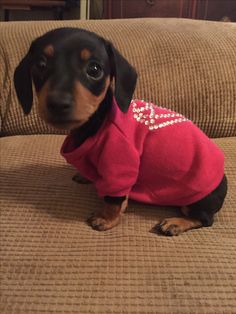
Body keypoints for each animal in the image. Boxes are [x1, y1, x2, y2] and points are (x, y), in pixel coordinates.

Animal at [13, 28, 228, 236]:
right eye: (40, 65)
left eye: (94, 69)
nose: (58, 103)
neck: (99, 121)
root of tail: (223, 180)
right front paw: (86, 175)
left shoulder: (120, 166)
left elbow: (114, 199)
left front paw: (106, 219)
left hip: (196, 201)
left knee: (206, 220)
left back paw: (175, 223)